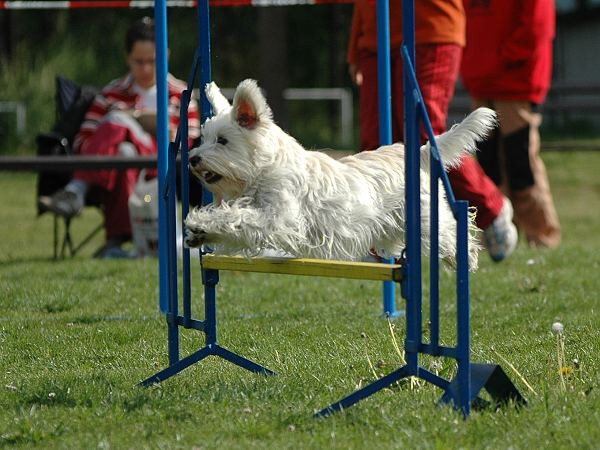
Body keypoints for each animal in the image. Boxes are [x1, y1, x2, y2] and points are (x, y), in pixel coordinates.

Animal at [185, 78, 494, 268]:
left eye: (222, 141)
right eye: (203, 138)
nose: (192, 158)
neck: (264, 169)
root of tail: (419, 153)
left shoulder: (278, 218)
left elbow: (239, 218)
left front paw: (200, 223)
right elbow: (234, 223)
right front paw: (199, 233)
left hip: (427, 216)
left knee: (452, 231)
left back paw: (465, 258)